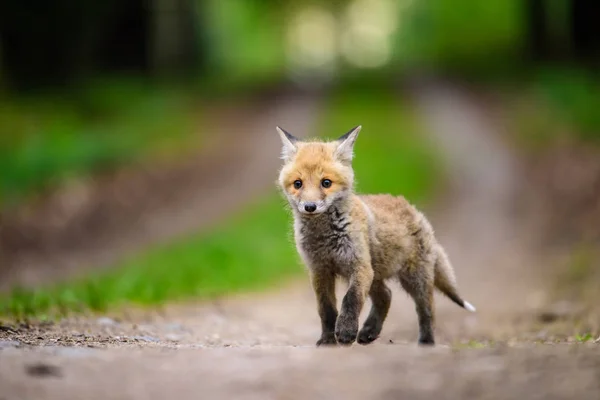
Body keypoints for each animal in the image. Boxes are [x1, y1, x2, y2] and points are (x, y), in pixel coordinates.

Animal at [274, 126, 476, 346]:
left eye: (326, 183)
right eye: (298, 184)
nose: (309, 207)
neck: (324, 236)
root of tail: (413, 210)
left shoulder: (359, 265)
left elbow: (351, 299)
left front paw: (345, 332)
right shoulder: (320, 270)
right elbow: (326, 309)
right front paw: (328, 340)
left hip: (414, 279)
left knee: (427, 310)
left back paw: (426, 342)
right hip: (377, 273)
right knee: (386, 296)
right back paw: (369, 332)